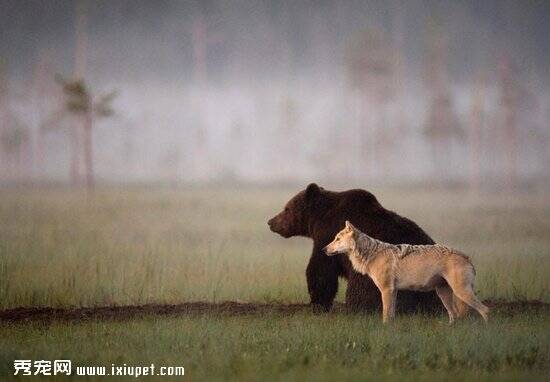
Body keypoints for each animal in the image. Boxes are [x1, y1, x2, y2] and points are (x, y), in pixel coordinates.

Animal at [270, 184, 442, 312]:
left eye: (286, 208)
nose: (271, 222)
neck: (318, 219)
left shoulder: (327, 235)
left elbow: (321, 270)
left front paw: (318, 303)